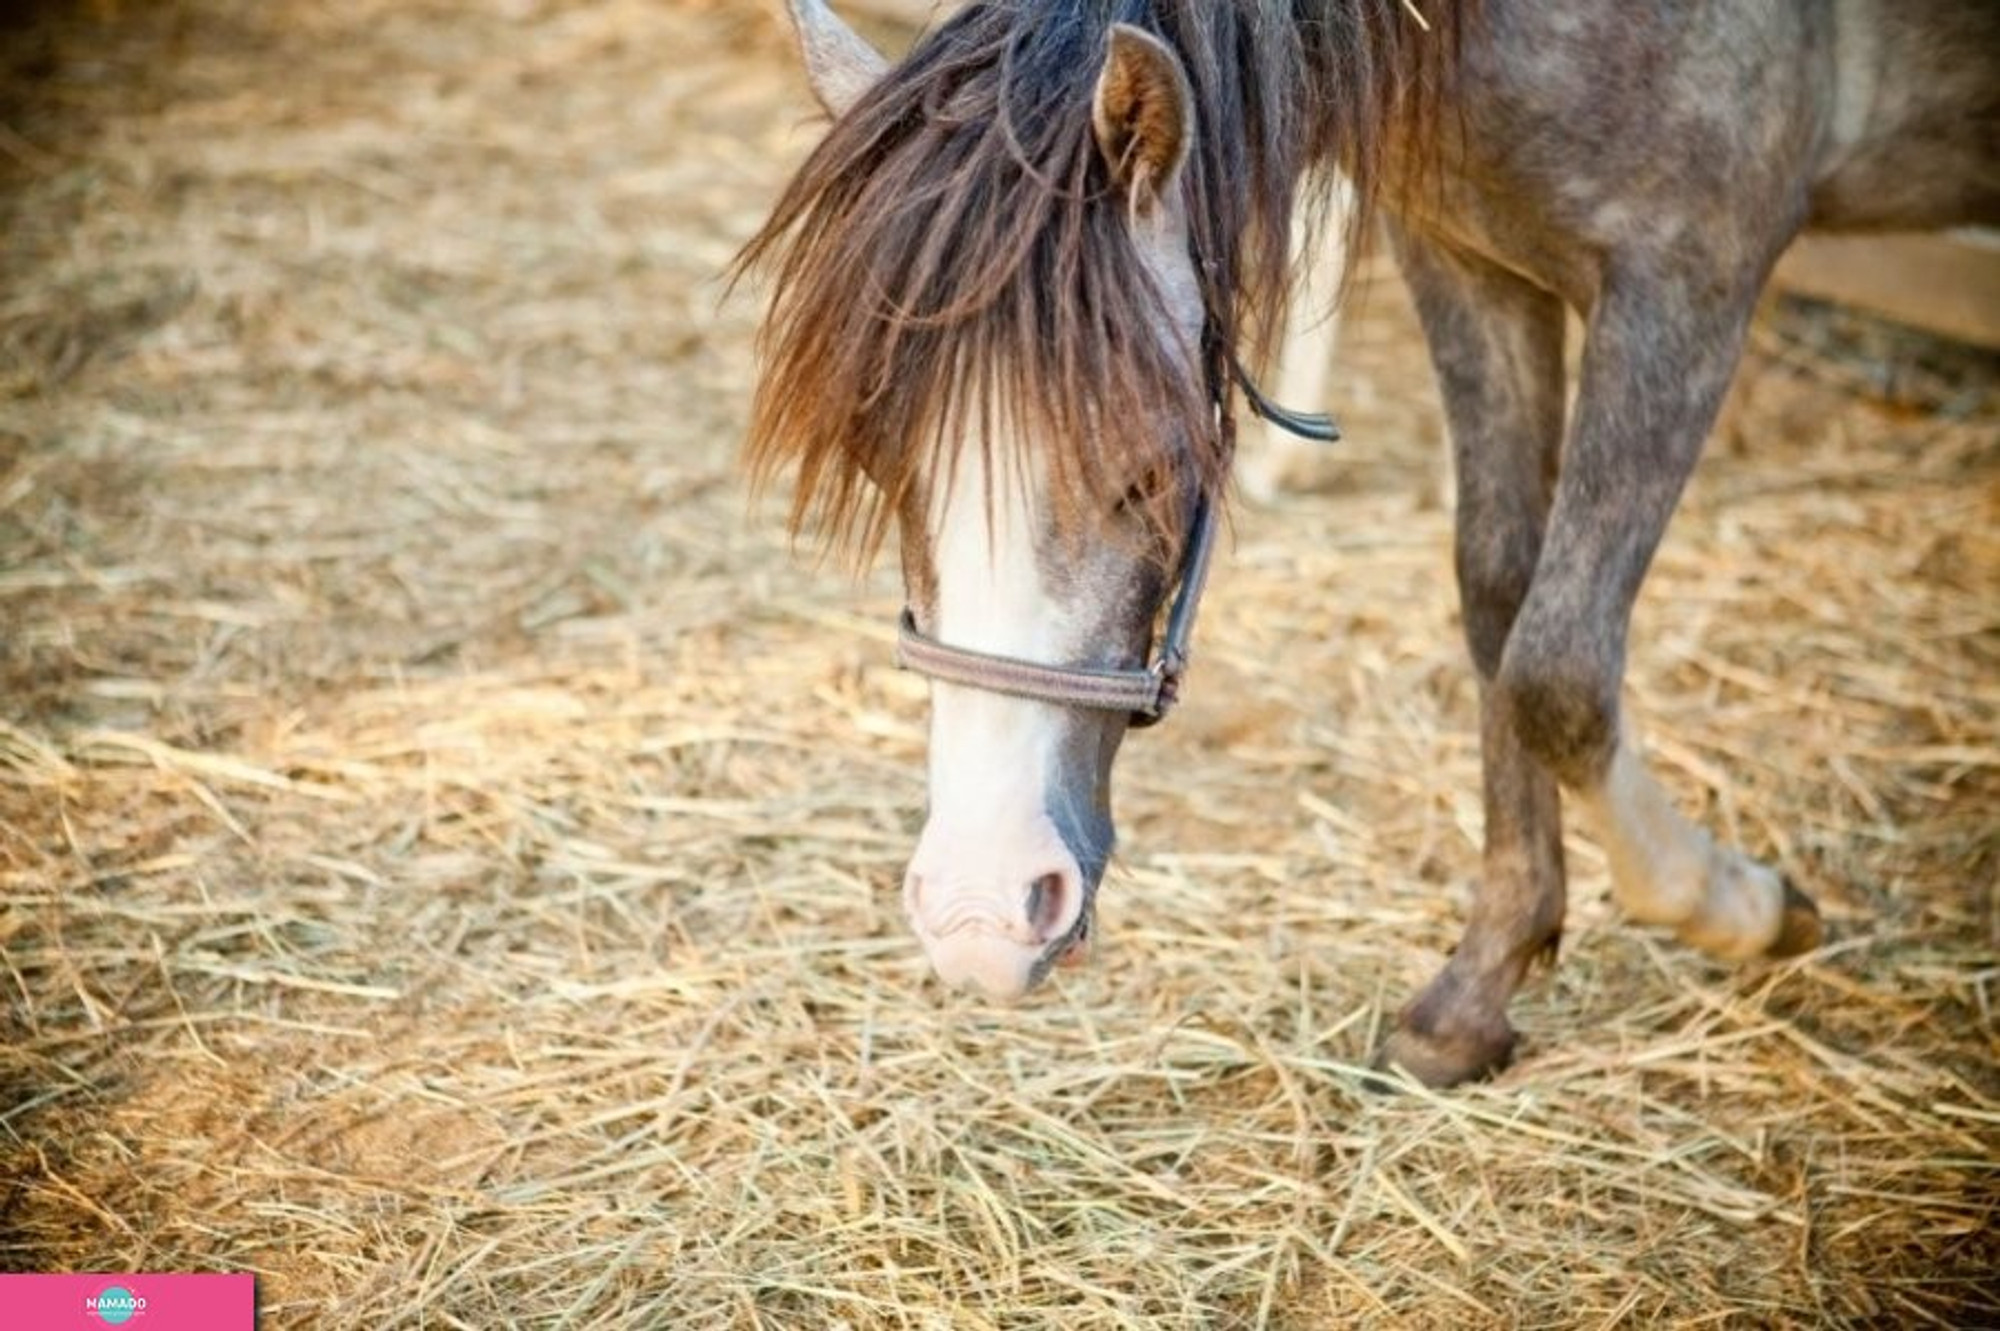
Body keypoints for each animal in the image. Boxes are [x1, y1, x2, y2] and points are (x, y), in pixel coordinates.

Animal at [740, 0, 2000, 1079]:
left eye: (1152, 468)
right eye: (879, 466)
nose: (977, 915)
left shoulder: (1686, 275)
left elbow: (1554, 667)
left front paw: (1736, 904)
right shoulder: (1470, 261)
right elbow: (1498, 603)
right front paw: (1482, 985)